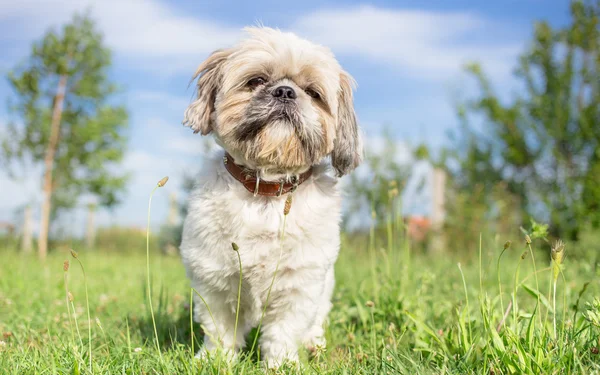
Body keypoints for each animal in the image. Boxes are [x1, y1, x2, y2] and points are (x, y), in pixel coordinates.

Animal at [178, 27, 364, 370]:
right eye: (256, 81)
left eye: (313, 93)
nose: (286, 92)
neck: (265, 188)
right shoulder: (216, 281)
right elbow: (220, 329)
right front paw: (214, 360)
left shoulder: (298, 284)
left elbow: (283, 332)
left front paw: (282, 365)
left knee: (315, 324)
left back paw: (315, 345)